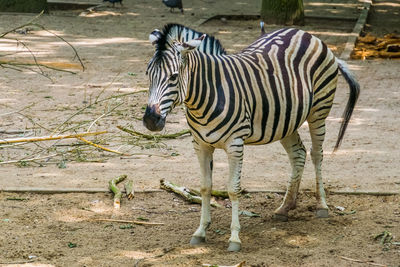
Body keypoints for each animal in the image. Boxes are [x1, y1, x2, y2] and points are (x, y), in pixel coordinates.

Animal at [143, 22, 360, 251]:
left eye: (174, 76)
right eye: (148, 73)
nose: (150, 120)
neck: (206, 96)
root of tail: (305, 33)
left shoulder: (235, 144)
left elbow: (233, 189)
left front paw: (234, 238)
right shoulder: (200, 144)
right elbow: (204, 187)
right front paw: (201, 231)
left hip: (319, 111)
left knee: (316, 154)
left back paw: (321, 205)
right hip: (286, 120)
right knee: (298, 154)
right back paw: (285, 207)